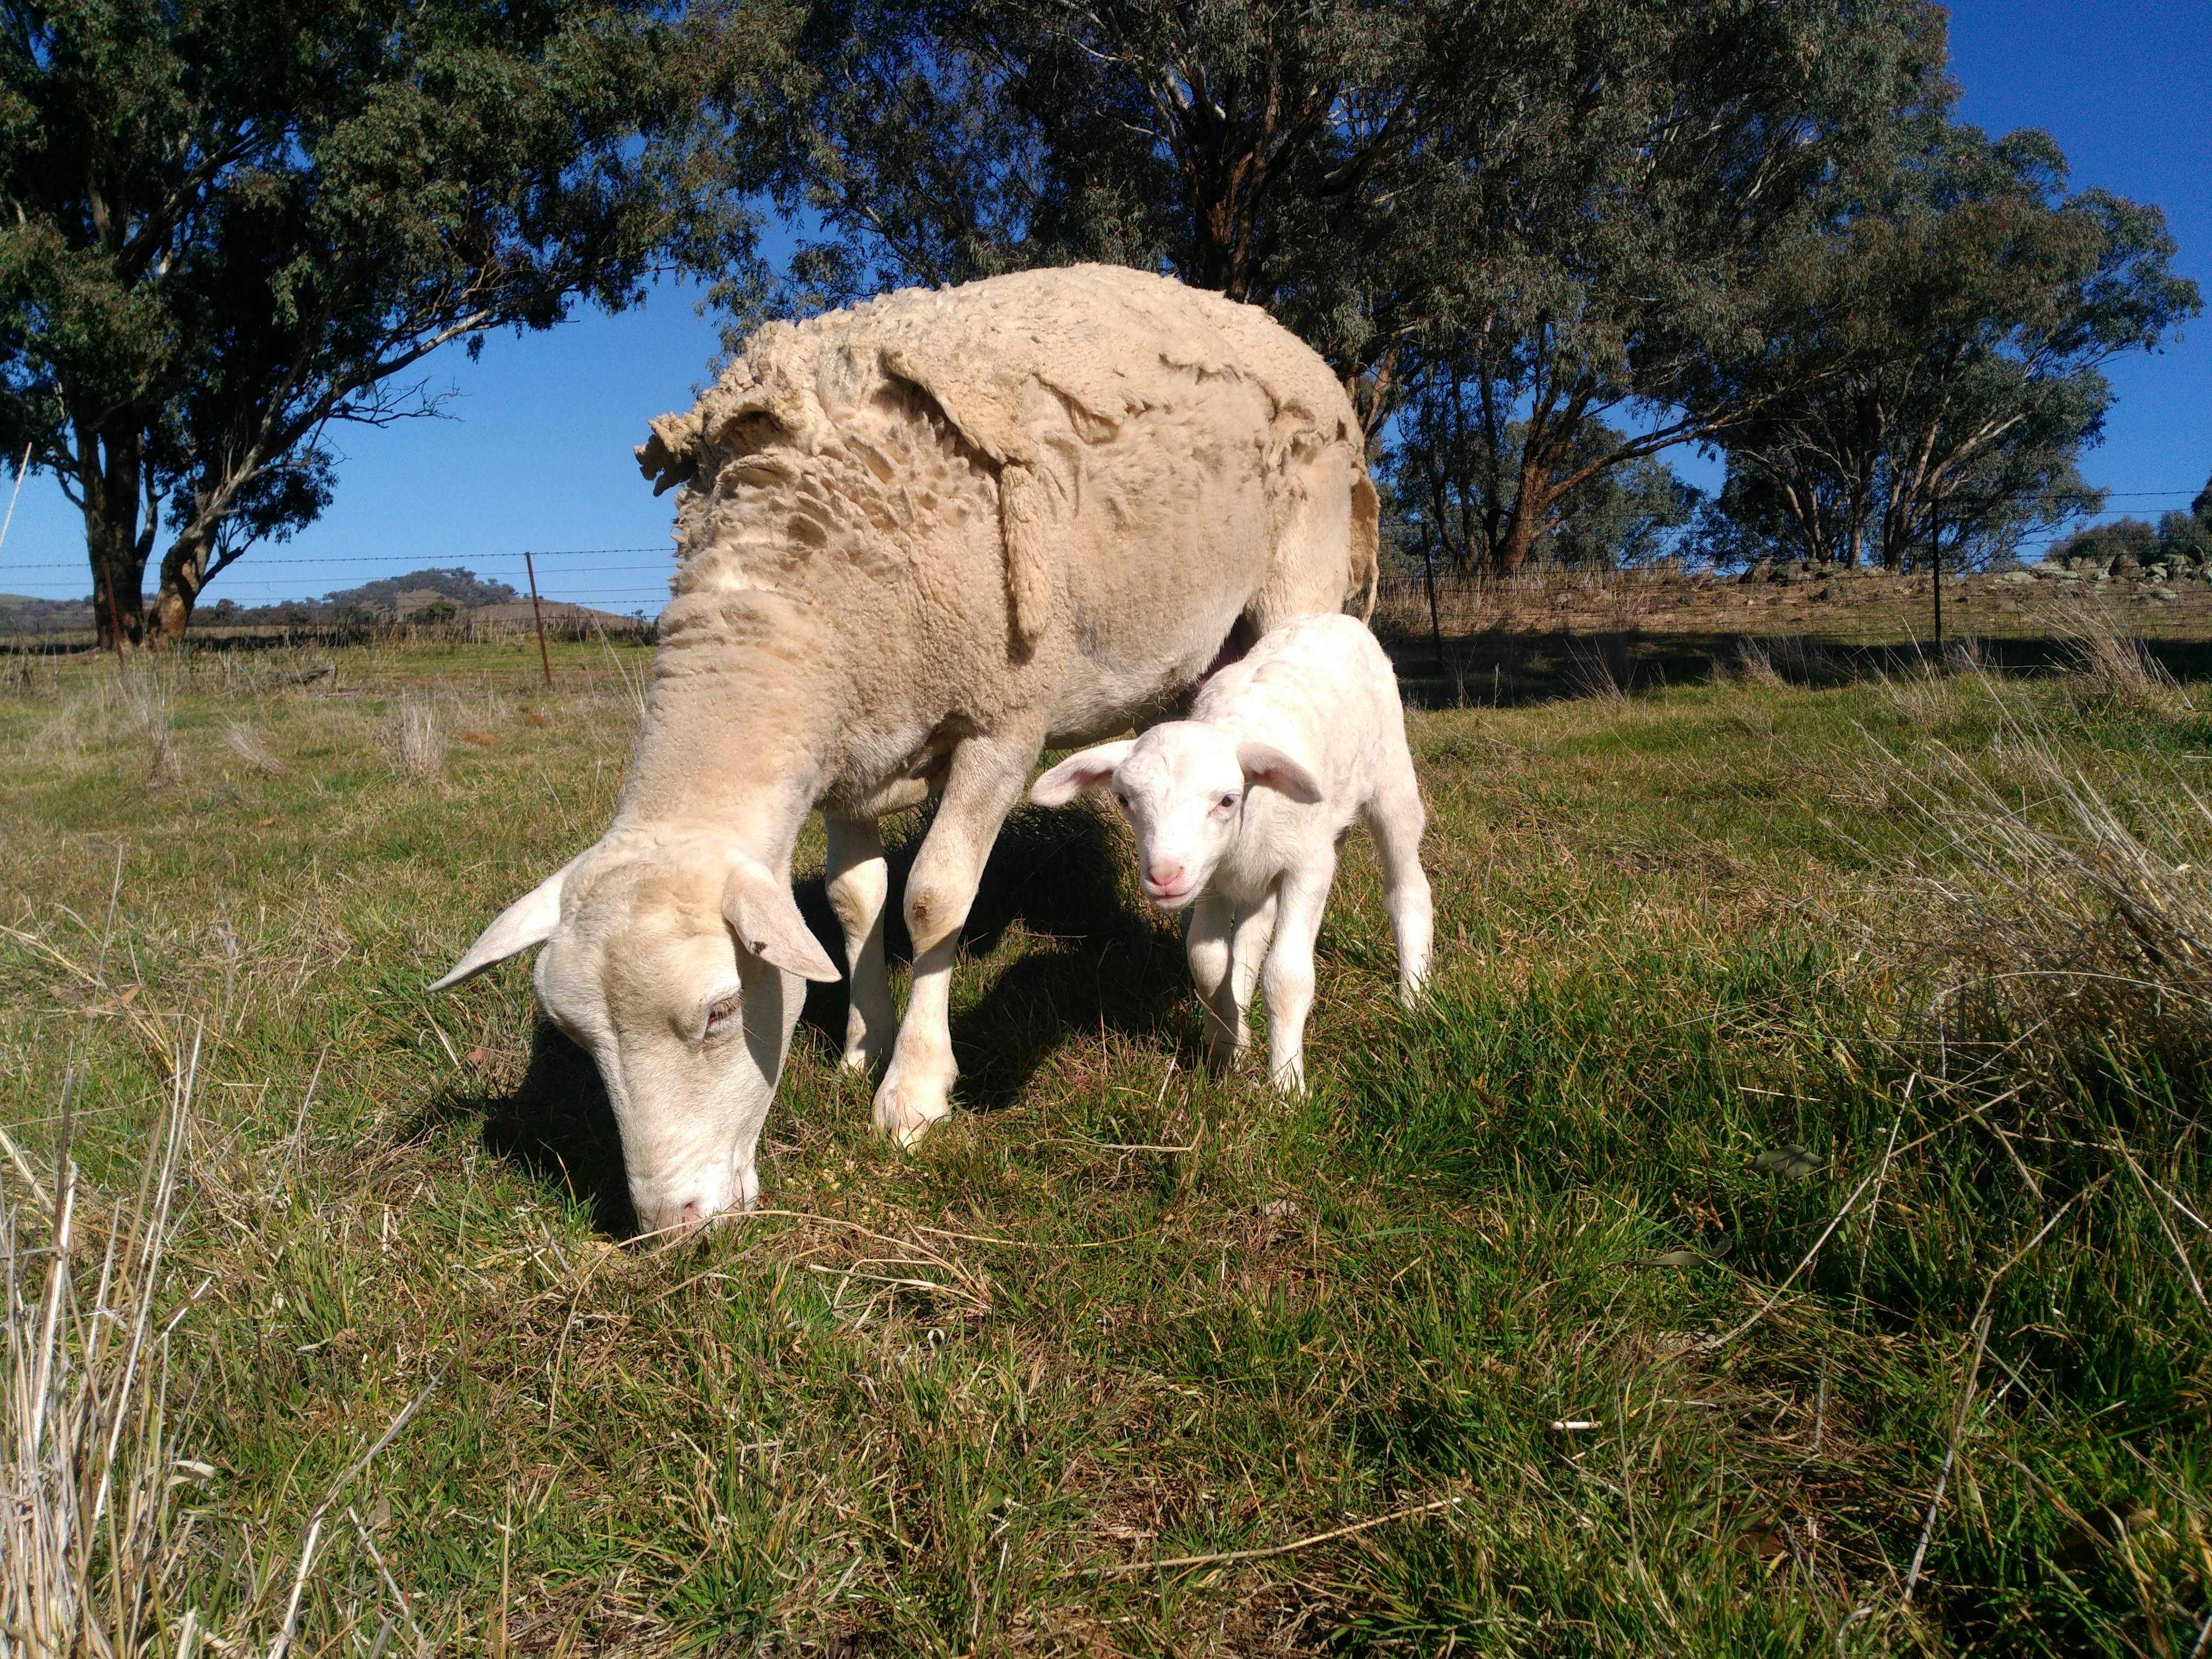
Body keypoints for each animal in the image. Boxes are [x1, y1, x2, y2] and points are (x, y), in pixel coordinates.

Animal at [431, 264, 1380, 1233]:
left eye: (722, 1012)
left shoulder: (1001, 726)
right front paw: (863, 1043)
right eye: (575, 1036)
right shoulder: (848, 751)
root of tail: (1288, 342)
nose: (673, 1224)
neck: (798, 584)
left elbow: (933, 900)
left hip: (1296, 577)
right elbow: (854, 903)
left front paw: (913, 1090)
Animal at [1029, 613, 1431, 1090]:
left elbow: (1287, 976)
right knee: (1249, 940)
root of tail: (1333, 617)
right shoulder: (1210, 883)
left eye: (1226, 800)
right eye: (1123, 800)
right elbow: (1207, 963)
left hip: (1391, 778)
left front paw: (1287, 1084)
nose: (1164, 876)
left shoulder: (1308, 868)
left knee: (1407, 887)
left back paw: (1414, 996)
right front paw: (1227, 1051)